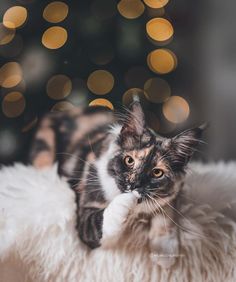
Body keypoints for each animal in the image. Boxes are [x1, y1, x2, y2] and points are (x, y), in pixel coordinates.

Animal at [29, 98, 203, 268]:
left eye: (157, 173)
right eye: (129, 160)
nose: (134, 185)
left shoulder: (175, 191)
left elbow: (166, 212)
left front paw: (165, 253)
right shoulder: (86, 214)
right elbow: (106, 217)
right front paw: (126, 202)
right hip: (45, 151)